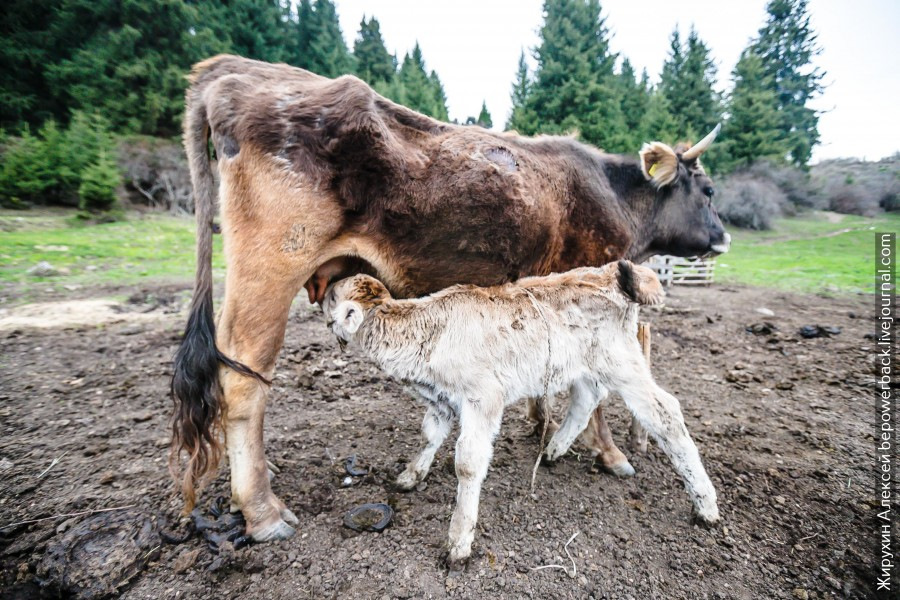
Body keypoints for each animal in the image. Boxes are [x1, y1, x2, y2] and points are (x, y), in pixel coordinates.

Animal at [322, 262, 716, 568]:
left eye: (332, 296)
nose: (320, 291)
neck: (428, 331)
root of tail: (613, 273)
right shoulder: (441, 400)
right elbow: (430, 435)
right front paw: (410, 476)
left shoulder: (484, 397)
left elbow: (468, 463)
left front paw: (459, 543)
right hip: (582, 364)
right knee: (588, 397)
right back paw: (553, 450)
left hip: (621, 363)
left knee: (666, 413)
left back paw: (705, 506)